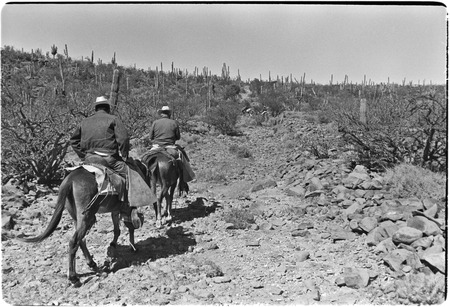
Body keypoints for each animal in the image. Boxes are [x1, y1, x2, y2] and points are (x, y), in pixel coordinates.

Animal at [18, 166, 146, 288]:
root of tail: (69, 180)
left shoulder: (116, 210)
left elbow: (117, 229)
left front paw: (115, 244)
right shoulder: (124, 209)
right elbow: (128, 227)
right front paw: (133, 246)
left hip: (77, 216)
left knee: (81, 240)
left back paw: (92, 265)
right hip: (86, 216)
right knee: (74, 241)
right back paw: (74, 278)